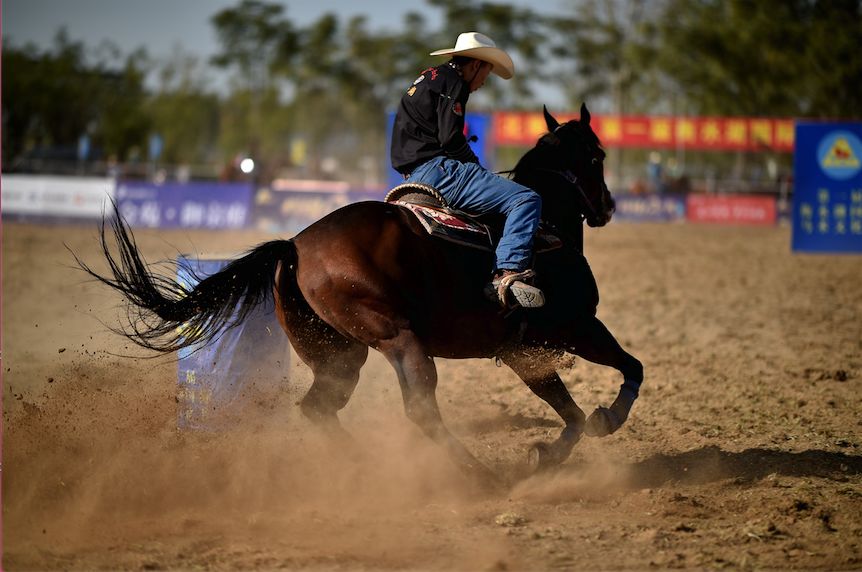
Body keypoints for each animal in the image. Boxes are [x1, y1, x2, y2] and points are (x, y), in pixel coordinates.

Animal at [76, 105, 640, 480]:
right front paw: (608, 418)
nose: (610, 205)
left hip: (338, 354)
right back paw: (477, 475)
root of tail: (295, 246)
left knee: (318, 408)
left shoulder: (524, 349)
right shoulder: (577, 327)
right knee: (420, 408)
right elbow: (629, 367)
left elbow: (567, 409)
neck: (547, 224)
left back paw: (361, 466)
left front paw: (548, 452)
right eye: (599, 155)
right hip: (398, 340)